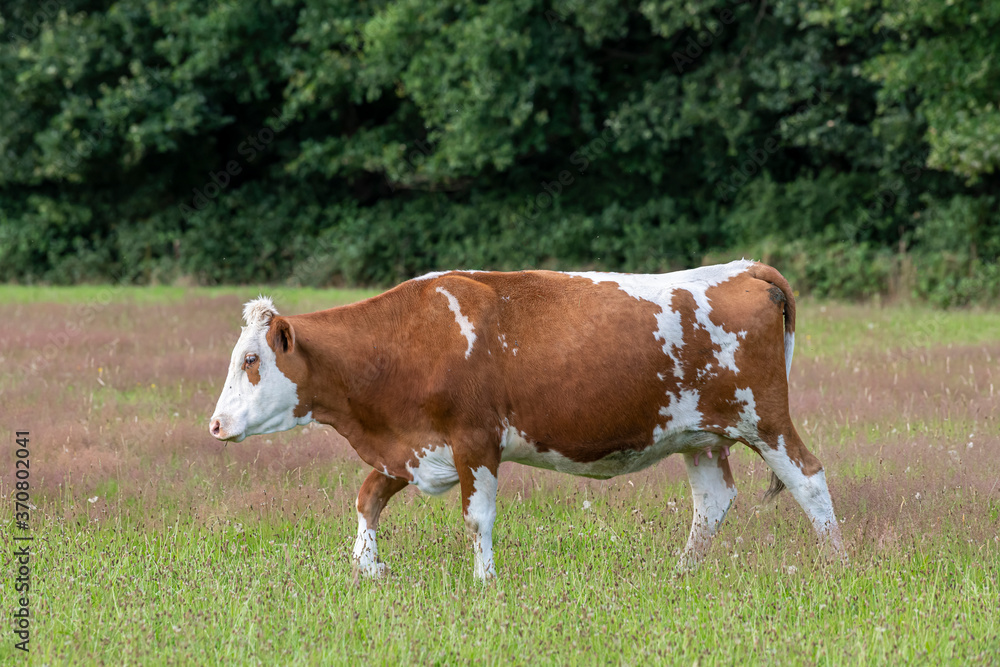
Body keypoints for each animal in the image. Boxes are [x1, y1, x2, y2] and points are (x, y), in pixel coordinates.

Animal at [209, 258, 844, 580]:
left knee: (809, 478)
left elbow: (477, 518)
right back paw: (680, 574)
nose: (215, 425)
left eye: (251, 359)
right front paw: (367, 568)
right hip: (700, 435)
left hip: (764, 418)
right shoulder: (412, 447)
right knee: (712, 501)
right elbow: (368, 497)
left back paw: (835, 564)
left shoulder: (475, 440)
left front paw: (485, 583)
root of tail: (746, 268)